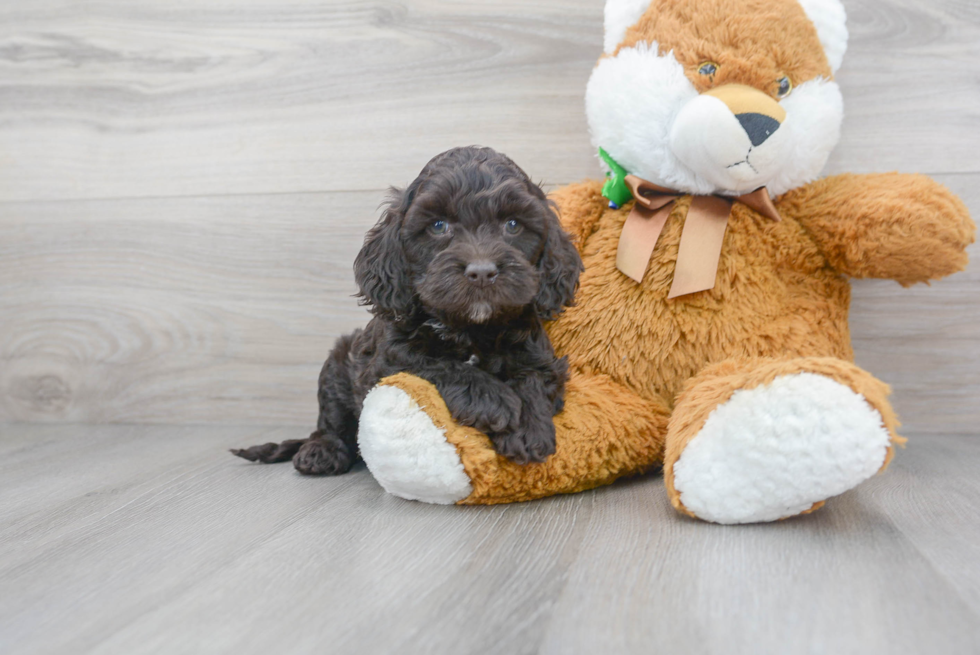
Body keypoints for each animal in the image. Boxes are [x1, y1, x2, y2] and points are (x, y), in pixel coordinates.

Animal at [232, 147, 580, 476]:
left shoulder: (537, 353)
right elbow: (434, 365)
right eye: (438, 226)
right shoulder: (387, 361)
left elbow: (533, 377)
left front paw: (528, 428)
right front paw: (491, 399)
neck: (469, 326)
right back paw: (321, 451)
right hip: (337, 363)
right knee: (330, 422)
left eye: (513, 225)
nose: (482, 272)